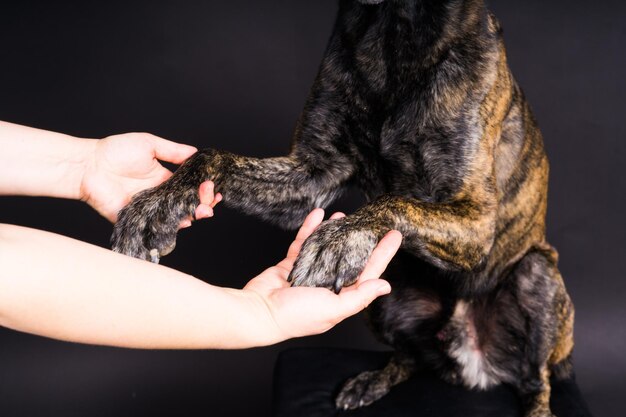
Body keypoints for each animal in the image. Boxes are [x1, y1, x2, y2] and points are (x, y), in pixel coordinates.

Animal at [111, 1, 572, 414]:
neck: (396, 33)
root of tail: (471, 367)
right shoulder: (311, 176)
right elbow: (211, 156)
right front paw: (157, 204)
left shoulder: (477, 219)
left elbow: (394, 200)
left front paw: (335, 241)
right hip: (389, 291)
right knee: (411, 357)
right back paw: (370, 383)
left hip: (538, 277)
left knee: (536, 380)